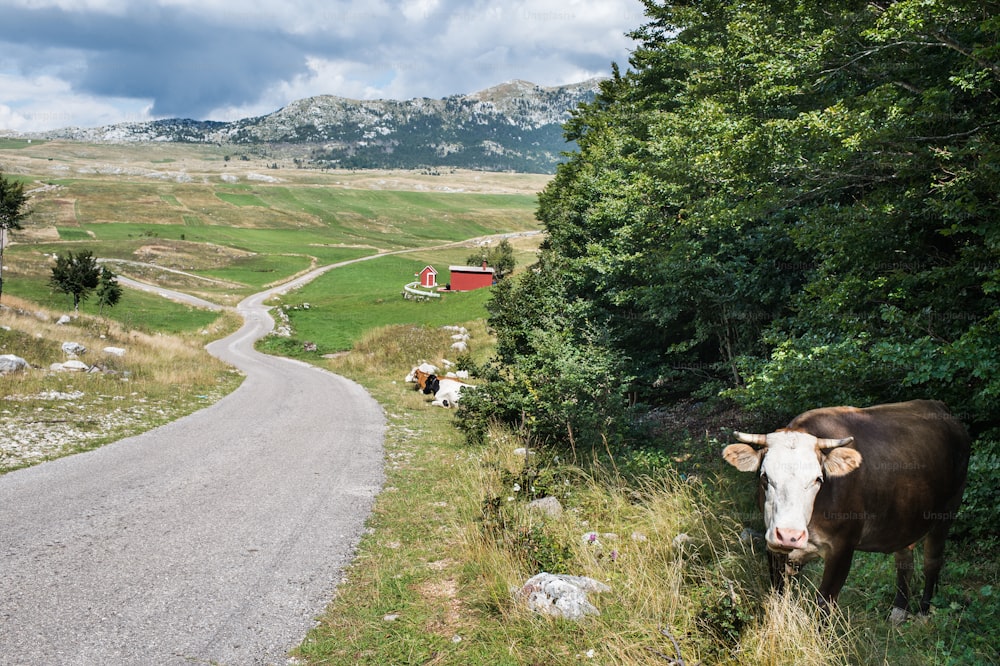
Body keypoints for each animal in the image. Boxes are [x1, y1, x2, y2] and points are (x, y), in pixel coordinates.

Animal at [728, 396, 968, 620]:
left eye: (818, 479)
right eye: (765, 477)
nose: (788, 535)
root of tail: (938, 406)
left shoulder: (843, 547)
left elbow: (824, 604)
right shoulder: (774, 548)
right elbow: (778, 595)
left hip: (947, 509)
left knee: (932, 561)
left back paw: (924, 611)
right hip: (904, 516)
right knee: (904, 559)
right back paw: (900, 610)